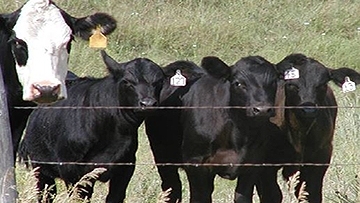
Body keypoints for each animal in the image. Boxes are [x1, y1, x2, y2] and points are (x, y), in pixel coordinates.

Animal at [19, 50, 165, 203]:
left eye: (159, 81)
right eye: (127, 82)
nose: (148, 103)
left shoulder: (126, 166)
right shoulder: (71, 169)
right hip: (40, 168)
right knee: (46, 193)